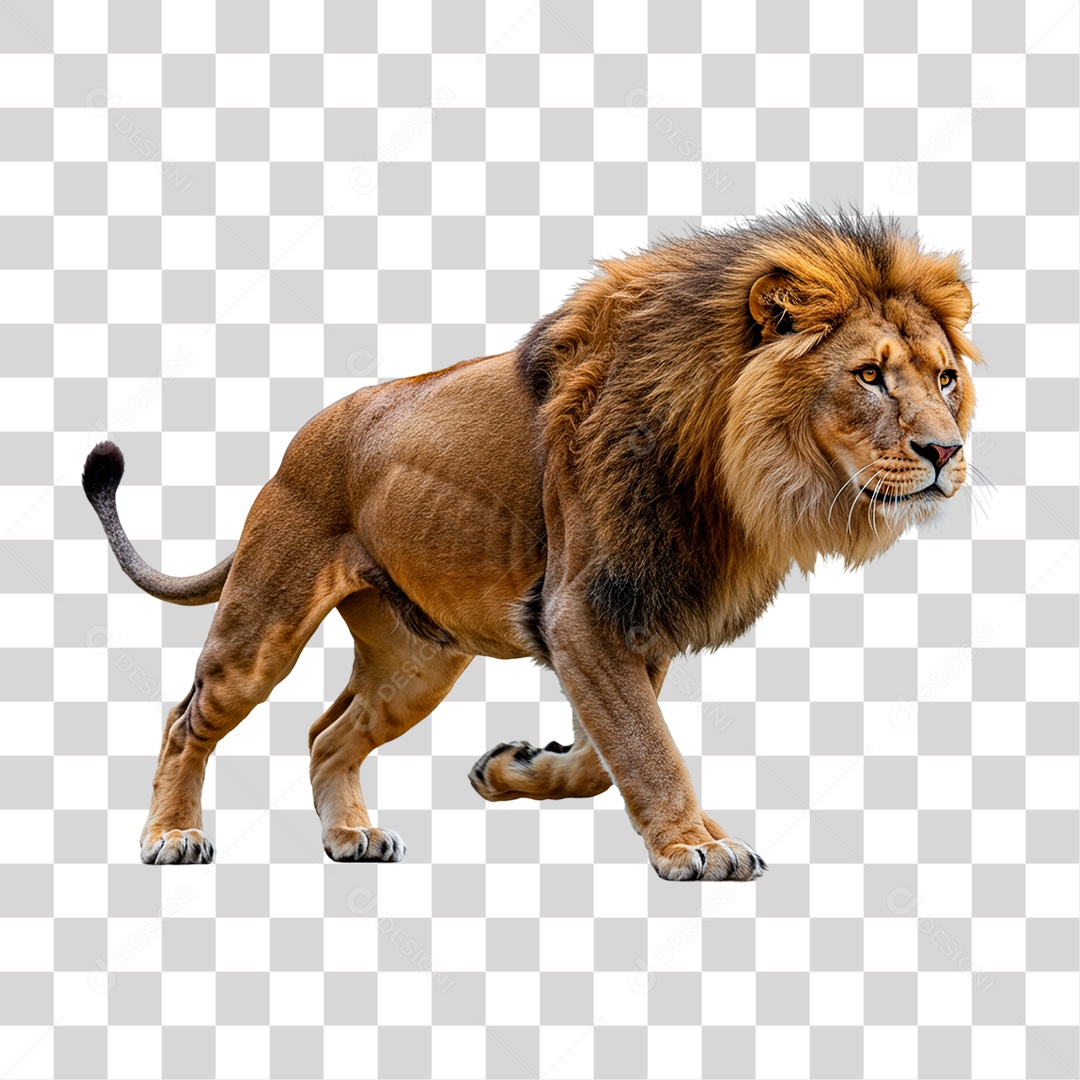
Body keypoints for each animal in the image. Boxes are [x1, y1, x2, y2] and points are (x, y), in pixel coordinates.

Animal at [82, 206, 981, 879]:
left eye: (944, 378)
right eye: (869, 375)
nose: (947, 453)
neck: (736, 480)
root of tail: (295, 445)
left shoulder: (640, 616)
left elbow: (606, 752)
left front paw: (513, 768)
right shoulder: (583, 611)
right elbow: (646, 745)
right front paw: (697, 846)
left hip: (417, 663)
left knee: (326, 734)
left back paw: (351, 836)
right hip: (263, 623)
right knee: (188, 717)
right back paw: (171, 836)